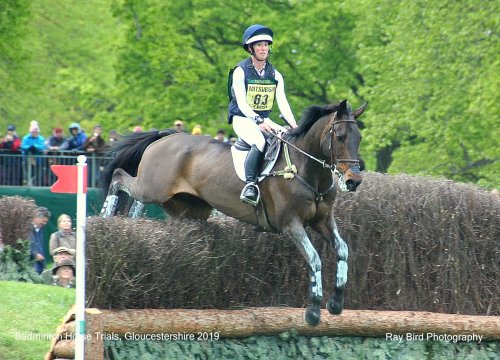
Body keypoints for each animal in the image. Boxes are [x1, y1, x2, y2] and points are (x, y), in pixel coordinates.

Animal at [100, 99, 368, 326]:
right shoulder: (290, 223)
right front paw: (313, 311)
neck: (305, 168)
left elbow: (342, 249)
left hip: (184, 207)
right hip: (152, 187)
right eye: (341, 137)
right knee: (119, 178)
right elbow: (313, 258)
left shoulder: (323, 220)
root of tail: (166, 136)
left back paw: (132, 223)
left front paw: (336, 302)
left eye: (359, 138)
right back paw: (105, 217)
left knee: (137, 198)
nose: (353, 181)